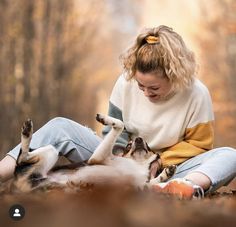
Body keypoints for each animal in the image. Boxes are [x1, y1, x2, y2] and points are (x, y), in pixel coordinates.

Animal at [11, 114, 177, 192]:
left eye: (148, 146)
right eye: (128, 146)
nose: (139, 139)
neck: (138, 164)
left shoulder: (140, 186)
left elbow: (154, 182)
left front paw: (166, 173)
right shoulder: (98, 158)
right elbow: (120, 124)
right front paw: (105, 119)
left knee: (22, 158)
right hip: (50, 151)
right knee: (21, 157)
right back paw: (27, 132)